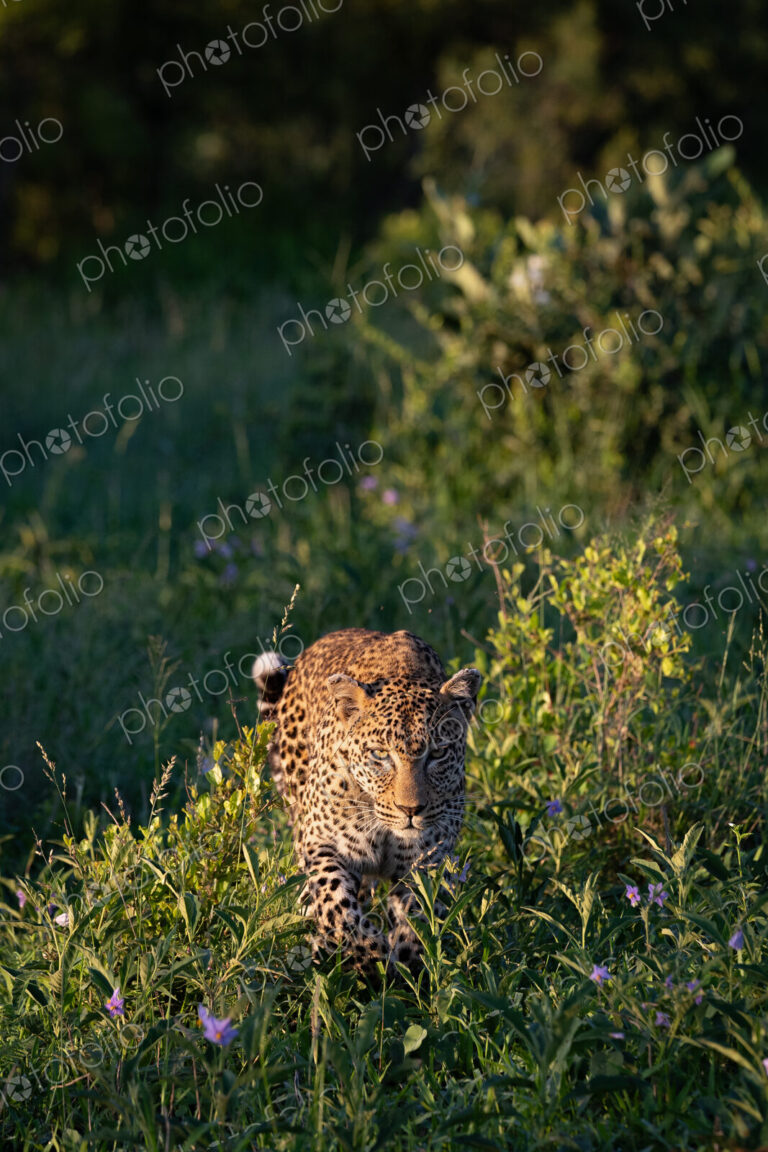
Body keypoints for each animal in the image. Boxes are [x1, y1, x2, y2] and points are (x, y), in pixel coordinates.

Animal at [252, 628, 481, 973]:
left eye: (438, 753)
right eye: (380, 754)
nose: (411, 810)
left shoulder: (427, 859)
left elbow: (418, 918)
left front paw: (408, 968)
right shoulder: (323, 842)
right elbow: (336, 907)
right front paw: (371, 957)